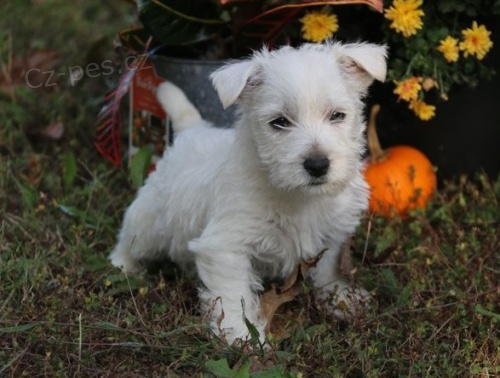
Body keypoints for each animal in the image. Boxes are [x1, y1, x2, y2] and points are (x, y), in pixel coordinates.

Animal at [111, 42, 388, 346]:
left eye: (337, 115)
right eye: (280, 122)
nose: (317, 165)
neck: (297, 196)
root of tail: (191, 131)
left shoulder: (331, 234)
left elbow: (327, 269)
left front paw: (341, 299)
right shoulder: (226, 247)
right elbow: (234, 296)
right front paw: (242, 338)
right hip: (149, 221)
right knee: (129, 238)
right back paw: (121, 266)